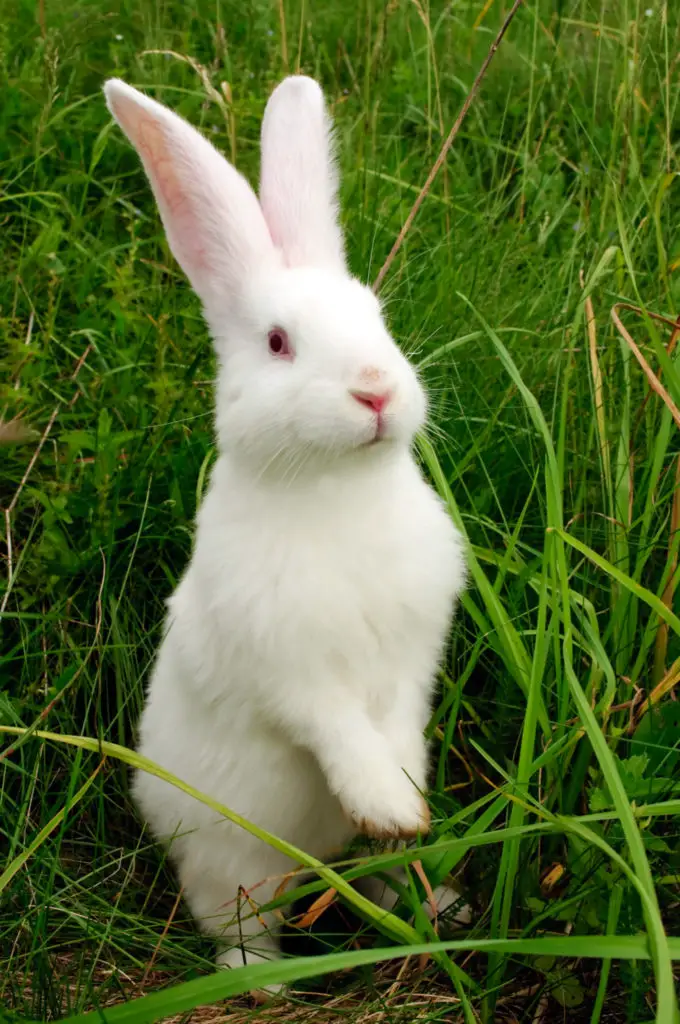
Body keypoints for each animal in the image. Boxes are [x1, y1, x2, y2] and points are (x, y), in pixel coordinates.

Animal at [104, 74, 466, 991]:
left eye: (378, 316)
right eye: (277, 343)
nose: (375, 390)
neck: (336, 489)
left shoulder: (411, 654)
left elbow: (396, 719)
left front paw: (408, 803)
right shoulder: (290, 671)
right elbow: (339, 729)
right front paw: (390, 804)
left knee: (381, 880)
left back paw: (439, 905)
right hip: (234, 861)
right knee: (240, 922)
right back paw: (261, 982)